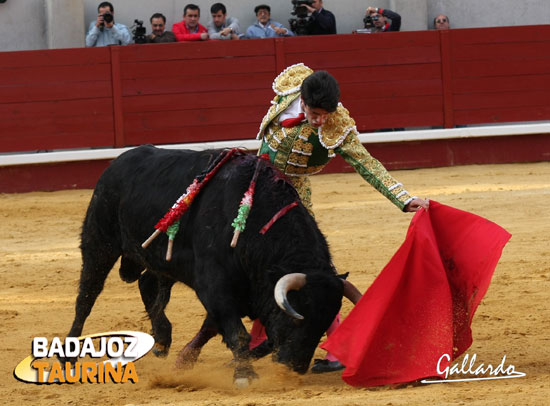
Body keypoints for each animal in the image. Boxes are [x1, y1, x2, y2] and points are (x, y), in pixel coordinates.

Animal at [69, 145, 354, 384]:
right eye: (295, 320)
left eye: (324, 325)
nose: (294, 368)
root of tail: (116, 163)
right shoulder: (214, 285)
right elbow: (236, 332)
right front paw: (245, 376)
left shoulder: (238, 291)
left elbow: (213, 327)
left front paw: (184, 361)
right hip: (99, 242)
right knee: (87, 296)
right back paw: (69, 356)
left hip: (159, 259)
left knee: (147, 283)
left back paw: (162, 340)